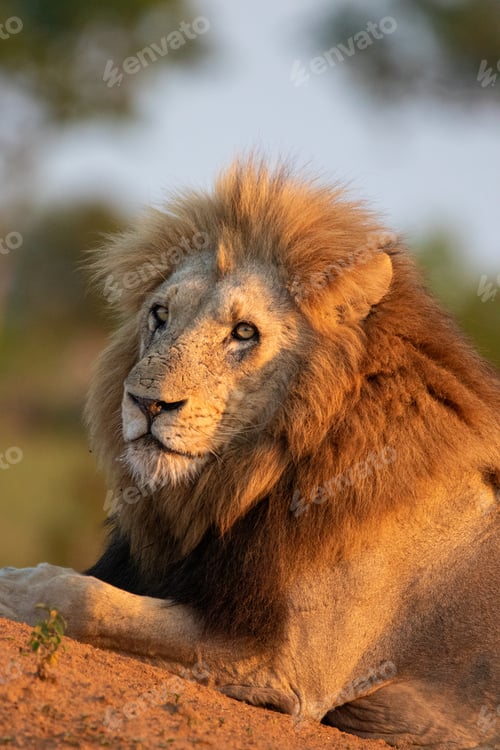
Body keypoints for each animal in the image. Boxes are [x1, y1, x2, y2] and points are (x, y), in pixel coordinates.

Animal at [1, 159, 499, 749]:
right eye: (160, 314)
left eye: (243, 332)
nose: (147, 403)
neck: (243, 484)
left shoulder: (287, 665)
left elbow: (91, 600)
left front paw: (16, 585)